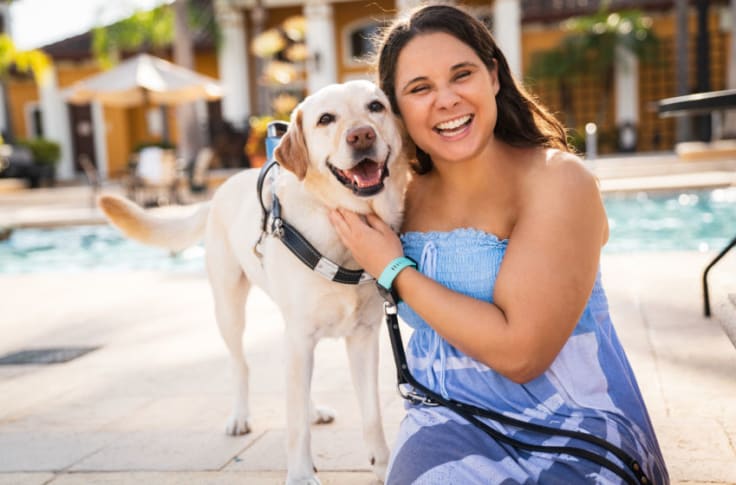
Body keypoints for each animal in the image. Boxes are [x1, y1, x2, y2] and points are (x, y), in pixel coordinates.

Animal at [98, 80, 408, 484]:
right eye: (326, 119)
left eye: (375, 107)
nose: (361, 135)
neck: (340, 229)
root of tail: (221, 188)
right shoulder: (300, 336)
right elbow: (294, 424)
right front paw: (301, 474)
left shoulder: (363, 338)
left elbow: (371, 414)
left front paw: (384, 466)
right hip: (229, 309)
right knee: (241, 365)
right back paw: (240, 417)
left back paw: (312, 408)